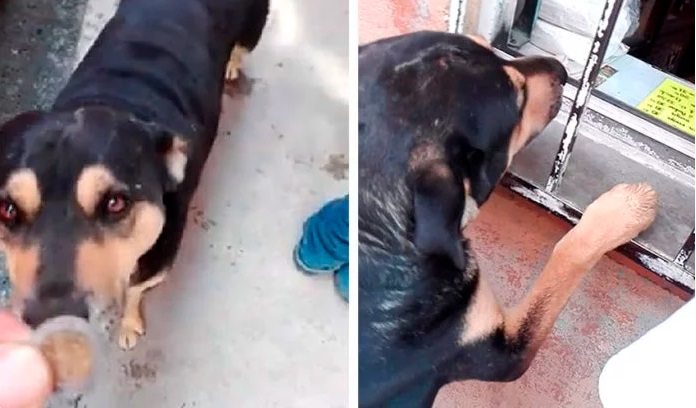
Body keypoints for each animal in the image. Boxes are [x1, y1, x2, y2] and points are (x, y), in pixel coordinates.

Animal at [0, 0, 268, 350]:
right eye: (8, 210)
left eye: (115, 203)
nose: (53, 319)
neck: (120, 99)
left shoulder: (157, 265)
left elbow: (135, 291)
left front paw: (128, 324)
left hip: (253, 30)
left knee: (241, 48)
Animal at [358, 31, 657, 407]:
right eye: (519, 97)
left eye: (484, 44)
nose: (562, 69)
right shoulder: (502, 353)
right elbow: (567, 255)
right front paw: (625, 208)